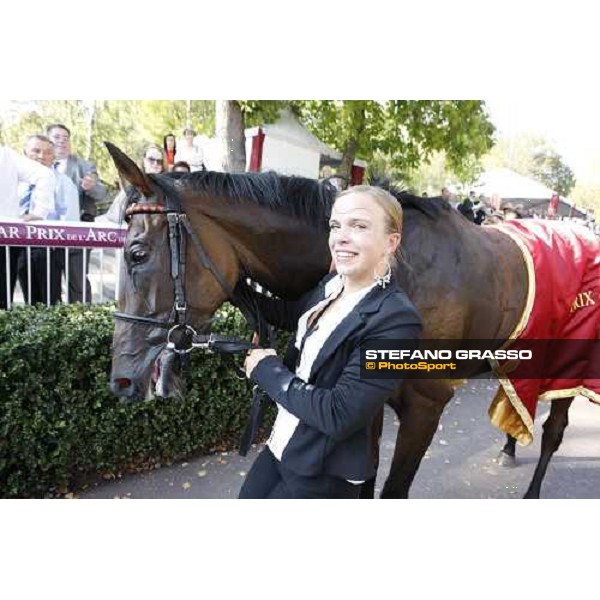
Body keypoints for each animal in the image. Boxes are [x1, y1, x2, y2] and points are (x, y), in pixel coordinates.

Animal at [105, 144, 584, 496]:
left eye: (137, 254)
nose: (120, 379)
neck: (404, 271)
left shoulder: (426, 405)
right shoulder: (365, 409)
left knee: (555, 429)